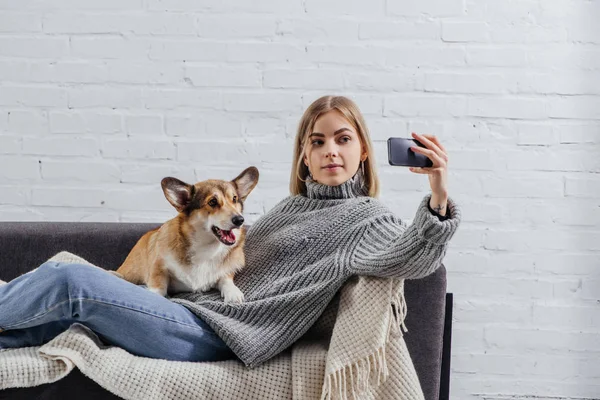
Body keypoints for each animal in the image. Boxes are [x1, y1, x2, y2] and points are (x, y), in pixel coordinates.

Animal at [113, 166, 258, 304]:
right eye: (212, 202)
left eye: (234, 199)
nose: (240, 220)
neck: (206, 248)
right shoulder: (158, 266)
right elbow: (158, 285)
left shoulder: (226, 272)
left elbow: (226, 279)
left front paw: (233, 294)